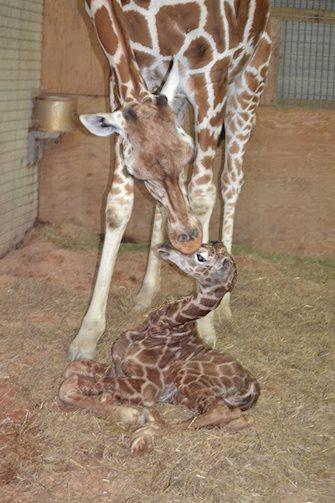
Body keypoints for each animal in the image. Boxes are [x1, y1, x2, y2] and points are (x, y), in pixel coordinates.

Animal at [59, 242, 260, 454]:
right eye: (203, 244)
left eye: (201, 256)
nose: (165, 246)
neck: (164, 325)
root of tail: (252, 387)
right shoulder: (118, 366)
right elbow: (72, 369)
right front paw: (111, 400)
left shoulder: (147, 387)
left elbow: (69, 384)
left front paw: (130, 414)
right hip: (187, 398)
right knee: (238, 417)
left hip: (187, 376)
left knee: (219, 411)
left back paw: (144, 433)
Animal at [69, 0, 272, 362]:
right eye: (137, 171)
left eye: (188, 154)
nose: (189, 239)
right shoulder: (123, 83)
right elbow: (118, 205)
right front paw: (87, 334)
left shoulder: (210, 72)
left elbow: (202, 194)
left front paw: (205, 326)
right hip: (178, 97)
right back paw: (147, 290)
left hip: (249, 79)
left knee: (230, 181)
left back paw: (225, 308)